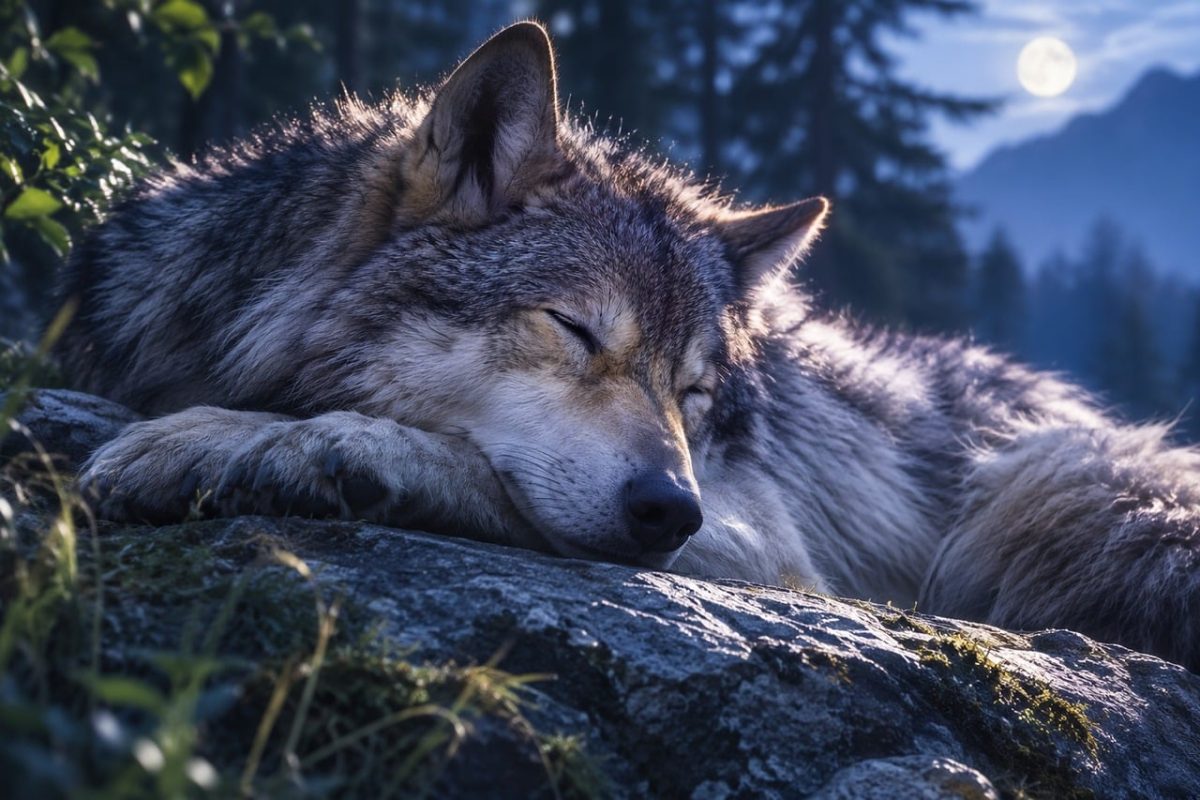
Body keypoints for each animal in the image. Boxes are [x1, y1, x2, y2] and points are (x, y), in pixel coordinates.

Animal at [56, 23, 1199, 670]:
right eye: (574, 330)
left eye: (693, 392)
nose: (669, 509)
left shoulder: (766, 540)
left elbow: (457, 459)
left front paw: (242, 443)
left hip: (1041, 490)